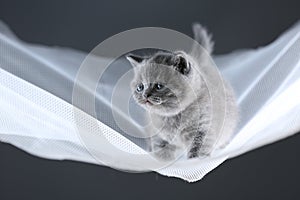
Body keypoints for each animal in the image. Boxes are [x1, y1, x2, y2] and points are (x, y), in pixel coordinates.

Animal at [125, 23, 238, 161]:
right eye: (140, 87)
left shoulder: (203, 129)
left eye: (159, 86)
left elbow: (198, 152)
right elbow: (162, 154)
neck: (173, 119)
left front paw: (195, 162)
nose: (145, 95)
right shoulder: (158, 136)